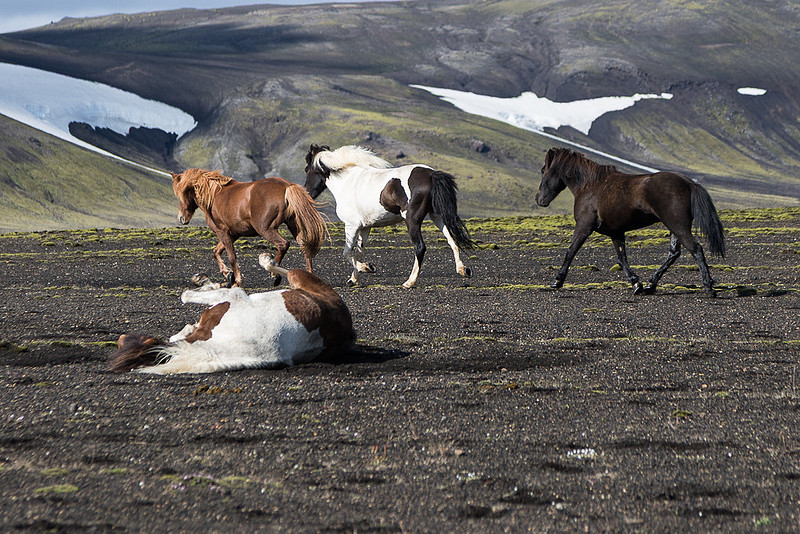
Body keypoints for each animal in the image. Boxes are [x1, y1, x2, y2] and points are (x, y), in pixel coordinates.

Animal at [109, 253, 355, 374]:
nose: (121, 337)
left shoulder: (231, 297)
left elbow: (186, 295)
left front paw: (205, 283)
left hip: (299, 276)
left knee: (287, 270)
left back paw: (265, 260)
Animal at [171, 169, 328, 288]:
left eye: (182, 193)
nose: (181, 218)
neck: (215, 195)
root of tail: (287, 186)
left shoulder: (223, 233)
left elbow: (231, 256)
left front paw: (236, 280)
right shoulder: (233, 234)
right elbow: (216, 252)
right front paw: (227, 274)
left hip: (266, 229)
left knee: (283, 244)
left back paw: (273, 274)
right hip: (293, 226)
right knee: (304, 247)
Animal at [303, 144, 475, 288]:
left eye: (307, 169)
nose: (307, 194)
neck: (347, 182)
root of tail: (431, 174)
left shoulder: (351, 226)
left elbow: (347, 252)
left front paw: (367, 267)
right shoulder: (365, 228)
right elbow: (358, 252)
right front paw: (353, 279)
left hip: (412, 220)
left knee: (420, 247)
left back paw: (409, 282)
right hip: (436, 215)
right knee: (452, 239)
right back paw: (463, 270)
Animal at [535, 147, 726, 294]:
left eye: (543, 170)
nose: (539, 199)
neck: (589, 186)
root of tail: (688, 183)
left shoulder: (584, 226)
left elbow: (570, 251)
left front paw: (557, 281)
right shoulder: (616, 232)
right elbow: (622, 258)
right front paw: (636, 284)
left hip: (678, 225)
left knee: (695, 249)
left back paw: (708, 288)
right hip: (674, 226)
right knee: (674, 253)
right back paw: (650, 285)